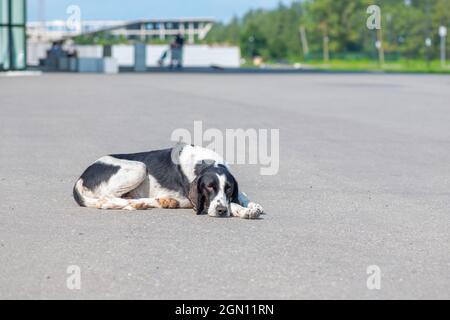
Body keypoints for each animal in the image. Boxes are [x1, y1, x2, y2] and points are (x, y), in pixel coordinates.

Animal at [72, 144, 264, 219]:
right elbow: (233, 204)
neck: (206, 162)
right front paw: (244, 210)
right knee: (104, 200)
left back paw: (162, 201)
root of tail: (81, 178)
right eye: (209, 187)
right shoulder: (197, 201)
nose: (221, 211)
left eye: (229, 189)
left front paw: (253, 205)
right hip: (140, 166)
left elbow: (242, 195)